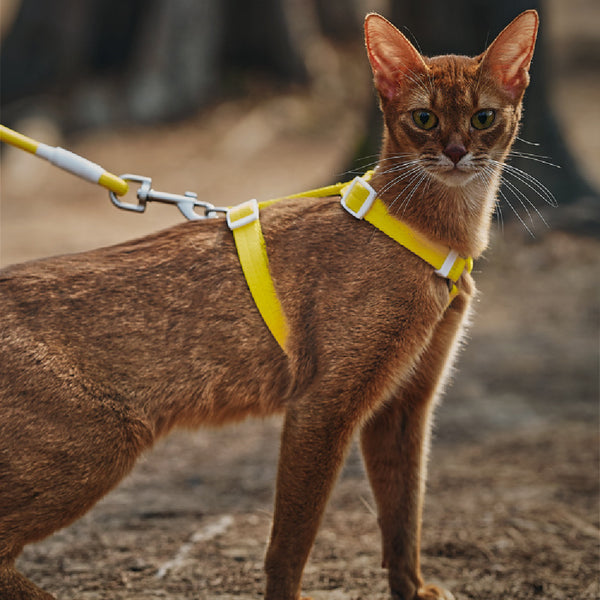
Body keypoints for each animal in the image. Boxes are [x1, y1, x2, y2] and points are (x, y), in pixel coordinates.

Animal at [0, 9, 540, 600]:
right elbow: (292, 541)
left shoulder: (404, 406)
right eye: (424, 118)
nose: (456, 152)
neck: (431, 235)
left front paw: (413, 589)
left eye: (484, 117)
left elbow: (404, 517)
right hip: (101, 442)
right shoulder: (323, 406)